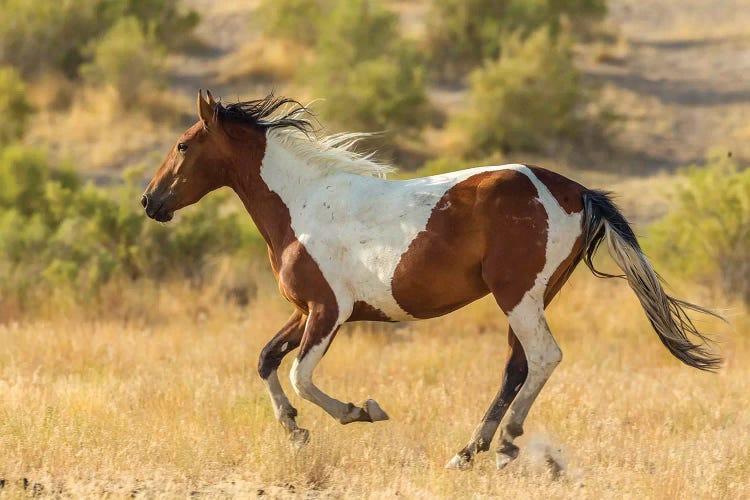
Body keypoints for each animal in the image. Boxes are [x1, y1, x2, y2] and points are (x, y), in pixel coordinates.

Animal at [141, 92, 724, 470]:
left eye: (183, 145)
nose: (150, 201)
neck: (301, 204)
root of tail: (576, 191)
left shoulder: (329, 312)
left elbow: (301, 377)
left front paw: (361, 412)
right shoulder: (305, 309)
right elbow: (266, 360)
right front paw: (295, 431)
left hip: (518, 296)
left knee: (543, 358)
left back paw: (505, 443)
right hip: (531, 299)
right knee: (517, 367)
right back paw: (471, 451)